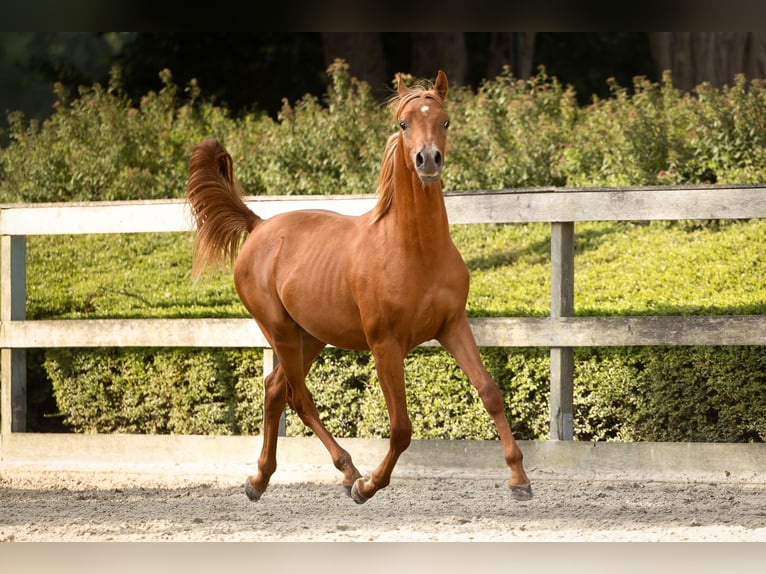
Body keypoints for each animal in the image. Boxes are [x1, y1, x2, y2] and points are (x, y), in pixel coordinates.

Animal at [186, 70, 533, 504]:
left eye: (445, 121)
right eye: (403, 124)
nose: (428, 160)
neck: (416, 251)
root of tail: (259, 225)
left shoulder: (453, 326)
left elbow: (490, 393)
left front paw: (519, 480)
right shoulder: (386, 345)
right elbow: (401, 428)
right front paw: (368, 486)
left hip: (310, 336)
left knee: (274, 389)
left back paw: (260, 480)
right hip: (280, 331)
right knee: (299, 398)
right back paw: (348, 473)